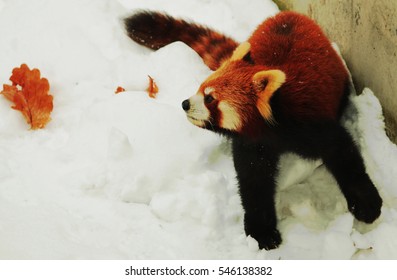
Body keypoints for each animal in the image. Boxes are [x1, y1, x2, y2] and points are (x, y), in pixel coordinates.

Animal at [125, 10, 382, 250]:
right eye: (200, 88)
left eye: (210, 99)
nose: (185, 104)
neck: (273, 127)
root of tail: (289, 13)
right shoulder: (253, 144)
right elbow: (254, 182)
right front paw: (262, 231)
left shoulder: (309, 123)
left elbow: (343, 153)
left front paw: (367, 204)